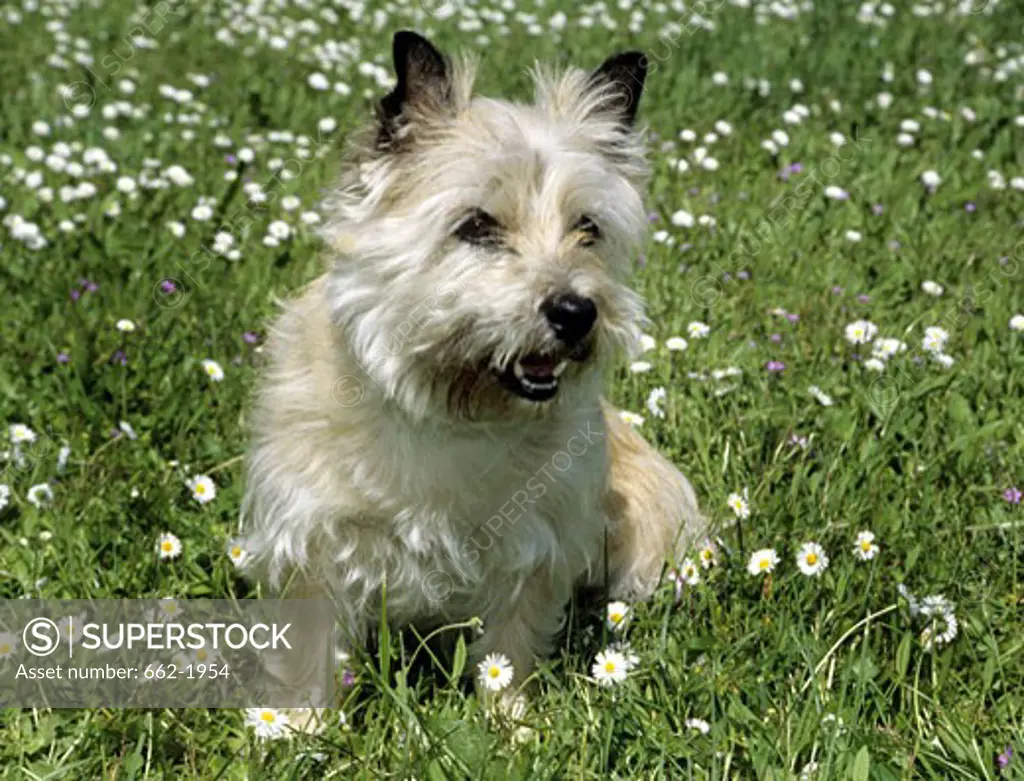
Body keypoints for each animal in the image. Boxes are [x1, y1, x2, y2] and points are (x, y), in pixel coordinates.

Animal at [239, 32, 704, 716]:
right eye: (477, 225)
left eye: (587, 227)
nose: (577, 311)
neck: (450, 410)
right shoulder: (312, 537)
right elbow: (309, 643)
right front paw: (297, 723)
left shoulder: (536, 547)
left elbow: (510, 644)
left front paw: (509, 723)